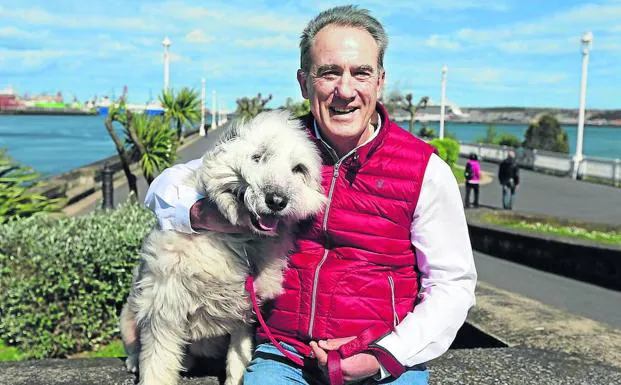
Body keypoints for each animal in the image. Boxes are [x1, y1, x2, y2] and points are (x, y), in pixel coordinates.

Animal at [118, 110, 326, 384]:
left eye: (298, 169)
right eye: (258, 157)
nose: (277, 200)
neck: (240, 241)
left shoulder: (244, 315)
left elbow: (238, 360)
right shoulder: (164, 309)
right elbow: (157, 364)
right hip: (128, 314)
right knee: (134, 345)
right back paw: (133, 362)